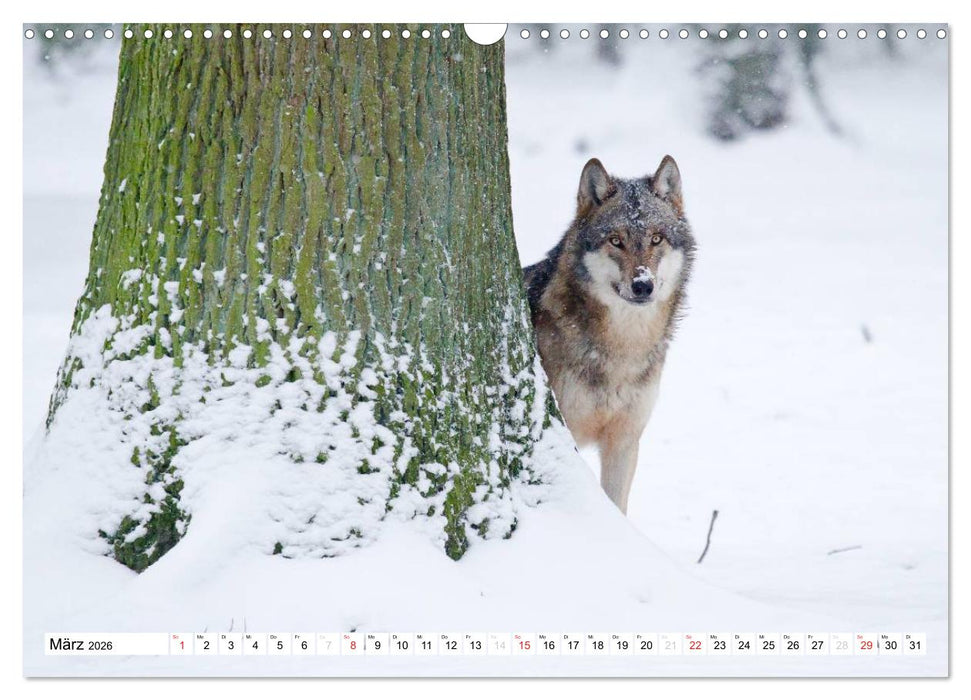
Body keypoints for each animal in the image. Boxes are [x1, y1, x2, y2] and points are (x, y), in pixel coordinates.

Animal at [523, 156, 695, 514]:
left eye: (656, 239)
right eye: (616, 241)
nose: (642, 285)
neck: (623, 349)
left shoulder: (625, 441)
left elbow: (617, 506)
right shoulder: (568, 433)